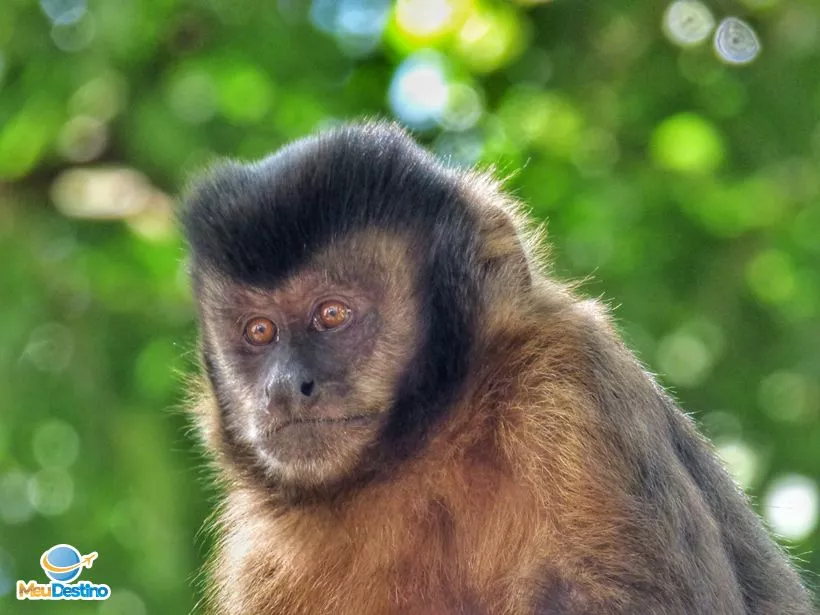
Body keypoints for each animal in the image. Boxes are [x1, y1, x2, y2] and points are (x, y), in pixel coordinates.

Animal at [179, 121, 812, 615]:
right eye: (259, 332)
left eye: (331, 315)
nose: (285, 387)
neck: (426, 449)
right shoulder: (258, 560)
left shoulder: (570, 380)